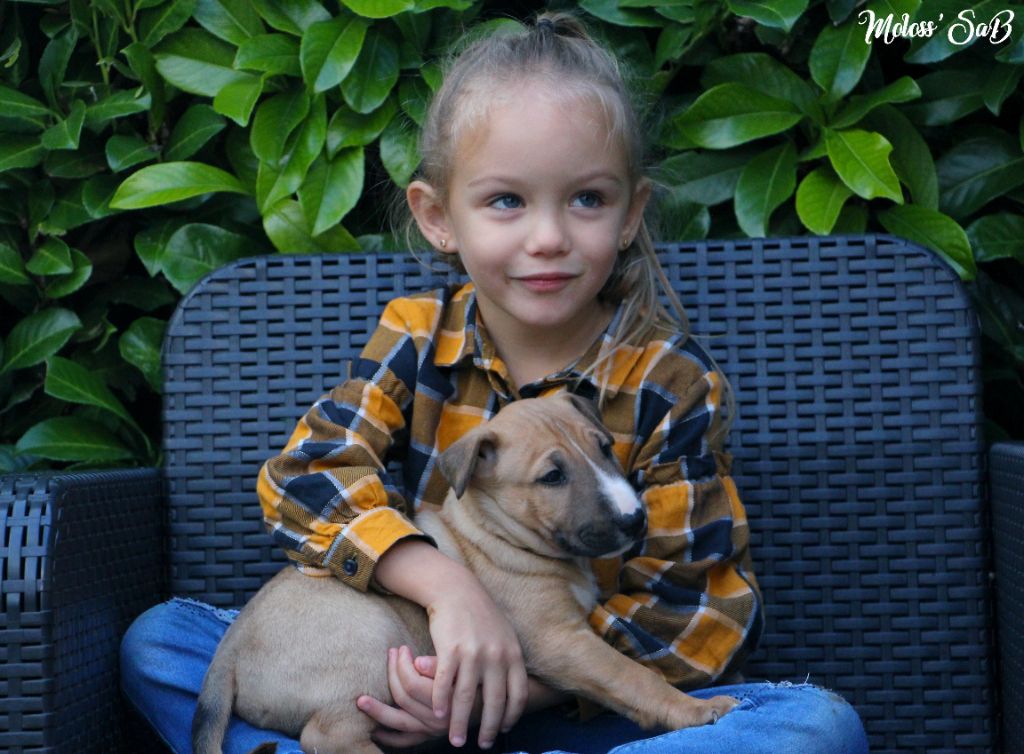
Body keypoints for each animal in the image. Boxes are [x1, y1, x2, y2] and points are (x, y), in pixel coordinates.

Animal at [192, 393, 738, 754]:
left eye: (604, 448)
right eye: (552, 477)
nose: (635, 520)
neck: (497, 532)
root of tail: (229, 650)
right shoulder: (557, 640)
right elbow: (632, 676)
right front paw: (696, 711)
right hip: (368, 644)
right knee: (325, 736)